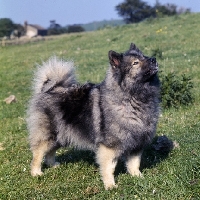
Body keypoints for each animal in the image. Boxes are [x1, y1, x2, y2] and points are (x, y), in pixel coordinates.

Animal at [27, 43, 161, 189]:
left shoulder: (137, 142)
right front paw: (110, 185)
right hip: (48, 135)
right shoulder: (110, 146)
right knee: (38, 154)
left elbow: (134, 163)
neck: (132, 97)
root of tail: (50, 89)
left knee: (50, 152)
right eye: (135, 63)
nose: (153, 59)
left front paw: (138, 177)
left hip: (61, 136)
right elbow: (109, 168)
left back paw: (53, 165)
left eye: (144, 56)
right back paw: (36, 173)